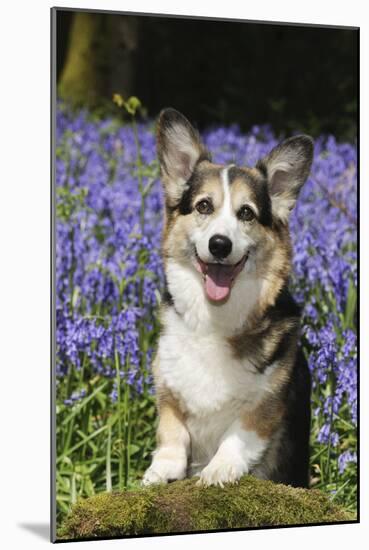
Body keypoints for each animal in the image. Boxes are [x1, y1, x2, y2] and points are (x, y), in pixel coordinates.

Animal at [142, 109, 312, 492]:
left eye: (246, 213)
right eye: (204, 206)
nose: (220, 245)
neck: (215, 318)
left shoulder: (266, 402)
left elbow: (239, 435)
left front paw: (218, 470)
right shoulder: (167, 386)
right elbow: (172, 432)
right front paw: (162, 469)